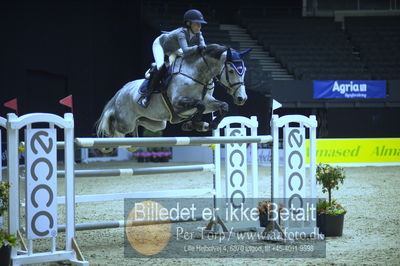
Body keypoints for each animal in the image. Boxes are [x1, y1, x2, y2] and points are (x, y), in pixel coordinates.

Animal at [95, 43, 250, 137]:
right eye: (231, 71)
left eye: (245, 70)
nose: (242, 98)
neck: (198, 75)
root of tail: (121, 90)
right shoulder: (177, 103)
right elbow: (200, 105)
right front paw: (196, 124)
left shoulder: (208, 101)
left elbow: (223, 106)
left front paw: (206, 124)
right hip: (125, 122)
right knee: (115, 125)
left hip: (157, 123)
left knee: (138, 123)